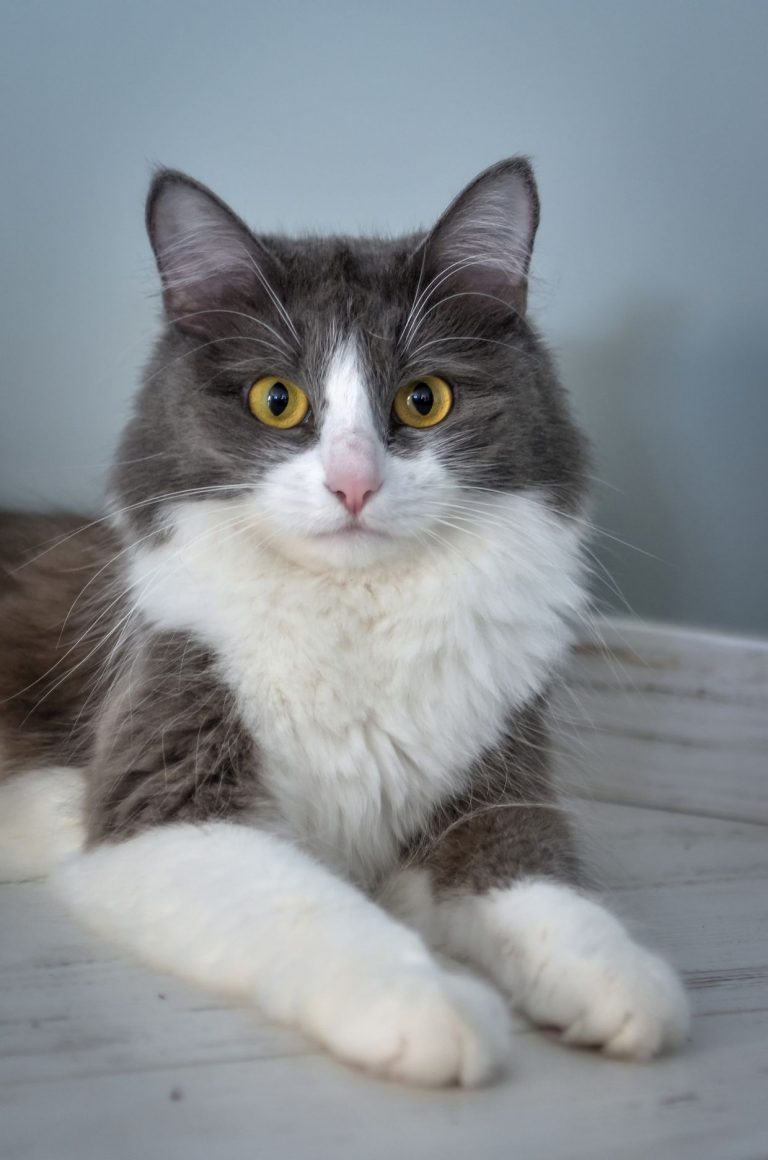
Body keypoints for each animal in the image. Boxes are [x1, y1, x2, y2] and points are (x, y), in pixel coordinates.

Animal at [0, 161, 686, 1085]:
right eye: (276, 400)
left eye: (425, 400)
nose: (354, 484)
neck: (356, 613)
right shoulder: (166, 805)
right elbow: (313, 905)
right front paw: (429, 1005)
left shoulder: (492, 787)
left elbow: (545, 886)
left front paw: (621, 980)